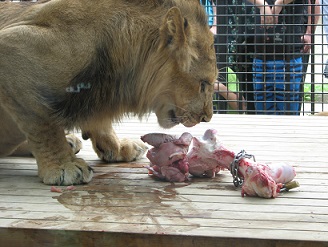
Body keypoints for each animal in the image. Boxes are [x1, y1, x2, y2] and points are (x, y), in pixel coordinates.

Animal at [0, 0, 218, 185]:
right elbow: (43, 124)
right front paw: (63, 166)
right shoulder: (12, 48)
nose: (206, 117)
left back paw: (69, 141)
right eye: (204, 84)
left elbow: (100, 121)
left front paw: (117, 147)